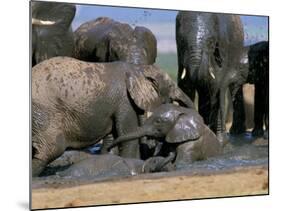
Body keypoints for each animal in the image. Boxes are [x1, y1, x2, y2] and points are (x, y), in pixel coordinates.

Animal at [31, 56, 192, 176]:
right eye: (171, 86)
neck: (138, 69)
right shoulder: (125, 101)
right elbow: (128, 137)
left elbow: (113, 138)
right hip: (45, 112)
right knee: (52, 149)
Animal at [176, 11, 244, 143]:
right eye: (181, 41)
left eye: (211, 42)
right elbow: (185, 87)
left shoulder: (222, 48)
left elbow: (216, 86)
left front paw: (219, 141)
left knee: (230, 89)